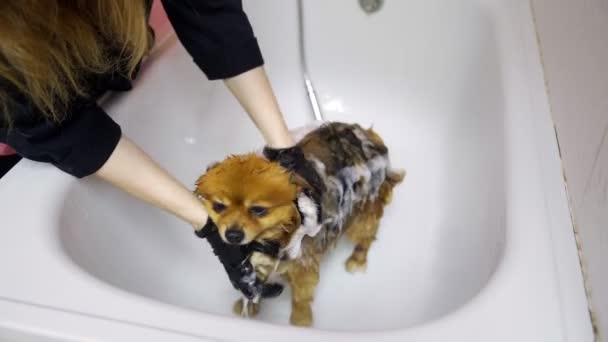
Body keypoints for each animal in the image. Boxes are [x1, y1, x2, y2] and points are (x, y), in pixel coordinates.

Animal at [195, 122, 404, 326]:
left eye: (258, 209)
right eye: (219, 206)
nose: (233, 235)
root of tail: (371, 138)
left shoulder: (304, 265)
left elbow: (301, 297)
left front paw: (301, 320)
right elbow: (252, 282)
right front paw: (247, 305)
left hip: (363, 213)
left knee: (366, 237)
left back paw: (357, 260)